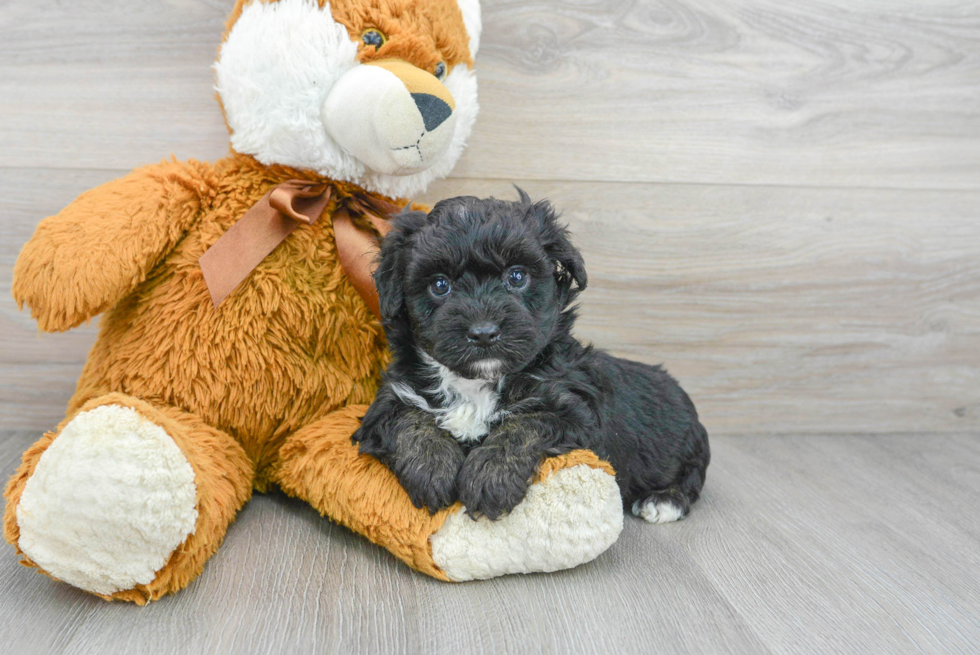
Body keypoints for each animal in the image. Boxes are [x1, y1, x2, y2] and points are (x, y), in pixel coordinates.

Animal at [356, 191, 708, 524]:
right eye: (439, 285)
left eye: (516, 277)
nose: (483, 332)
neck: (477, 382)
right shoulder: (390, 398)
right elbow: (409, 419)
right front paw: (432, 467)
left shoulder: (576, 413)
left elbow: (525, 425)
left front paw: (490, 476)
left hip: (691, 448)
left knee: (692, 479)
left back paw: (663, 501)